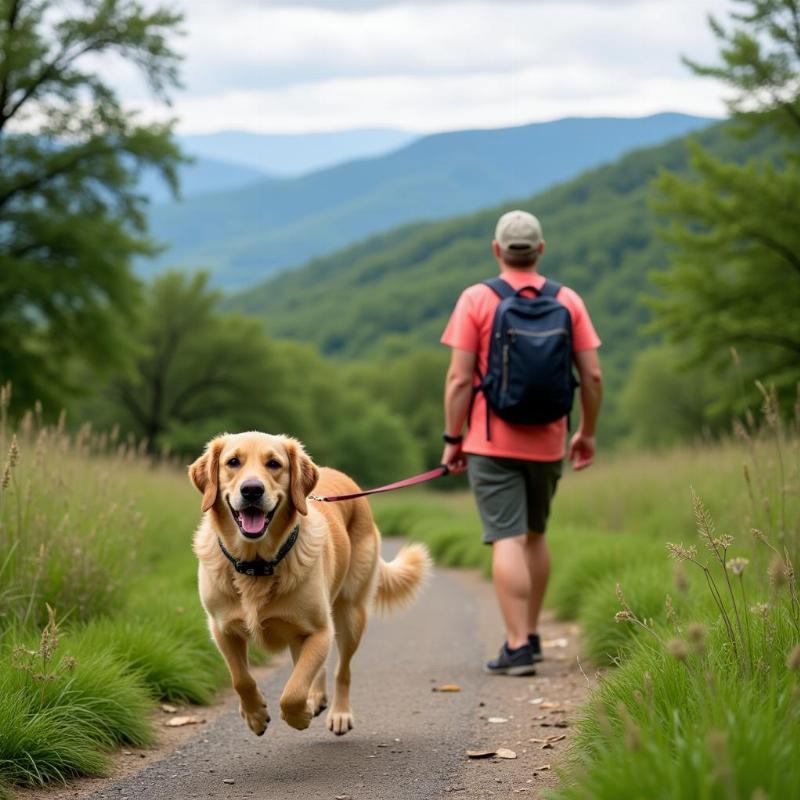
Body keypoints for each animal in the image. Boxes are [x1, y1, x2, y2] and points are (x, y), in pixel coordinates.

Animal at [189, 432, 432, 736]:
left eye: (274, 464)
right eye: (233, 462)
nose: (252, 490)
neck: (257, 565)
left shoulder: (319, 631)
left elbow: (293, 691)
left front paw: (299, 715)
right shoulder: (222, 629)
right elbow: (241, 678)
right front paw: (255, 715)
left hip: (350, 616)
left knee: (342, 670)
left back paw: (339, 714)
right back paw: (315, 698)